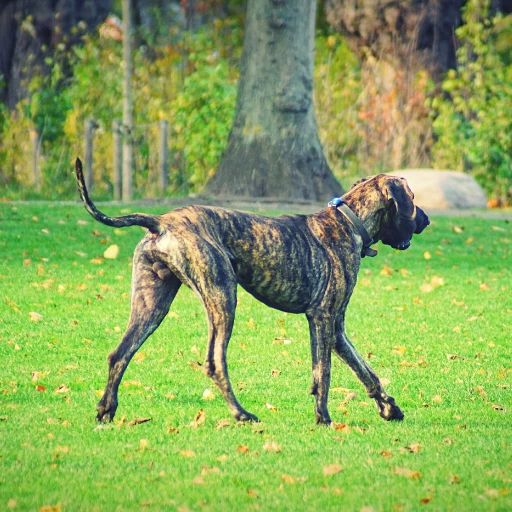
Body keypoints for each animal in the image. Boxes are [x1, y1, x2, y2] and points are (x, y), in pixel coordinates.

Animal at [75, 159, 428, 424]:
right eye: (413, 198)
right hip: (222, 299)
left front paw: (389, 407)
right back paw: (241, 414)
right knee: (214, 362)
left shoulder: (337, 328)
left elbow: (365, 371)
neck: (349, 222)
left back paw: (106, 411)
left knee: (120, 354)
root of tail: (161, 221)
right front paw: (324, 418)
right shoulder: (322, 318)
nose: (425, 220)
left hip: (151, 306)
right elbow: (323, 374)